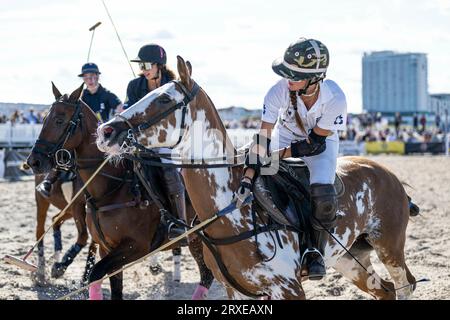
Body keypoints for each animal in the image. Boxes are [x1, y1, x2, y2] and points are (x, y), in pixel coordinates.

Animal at [27, 84, 214, 298]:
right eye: (44, 119)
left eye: (59, 120)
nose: (34, 161)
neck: (112, 188)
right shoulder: (106, 247)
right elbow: (110, 282)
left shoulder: (136, 246)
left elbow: (93, 265)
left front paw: (64, 267)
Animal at [96, 57, 420, 300]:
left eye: (163, 98)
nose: (105, 131)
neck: (231, 209)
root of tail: (388, 174)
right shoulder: (236, 290)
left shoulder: (289, 289)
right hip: (349, 258)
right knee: (386, 291)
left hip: (389, 246)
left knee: (405, 285)